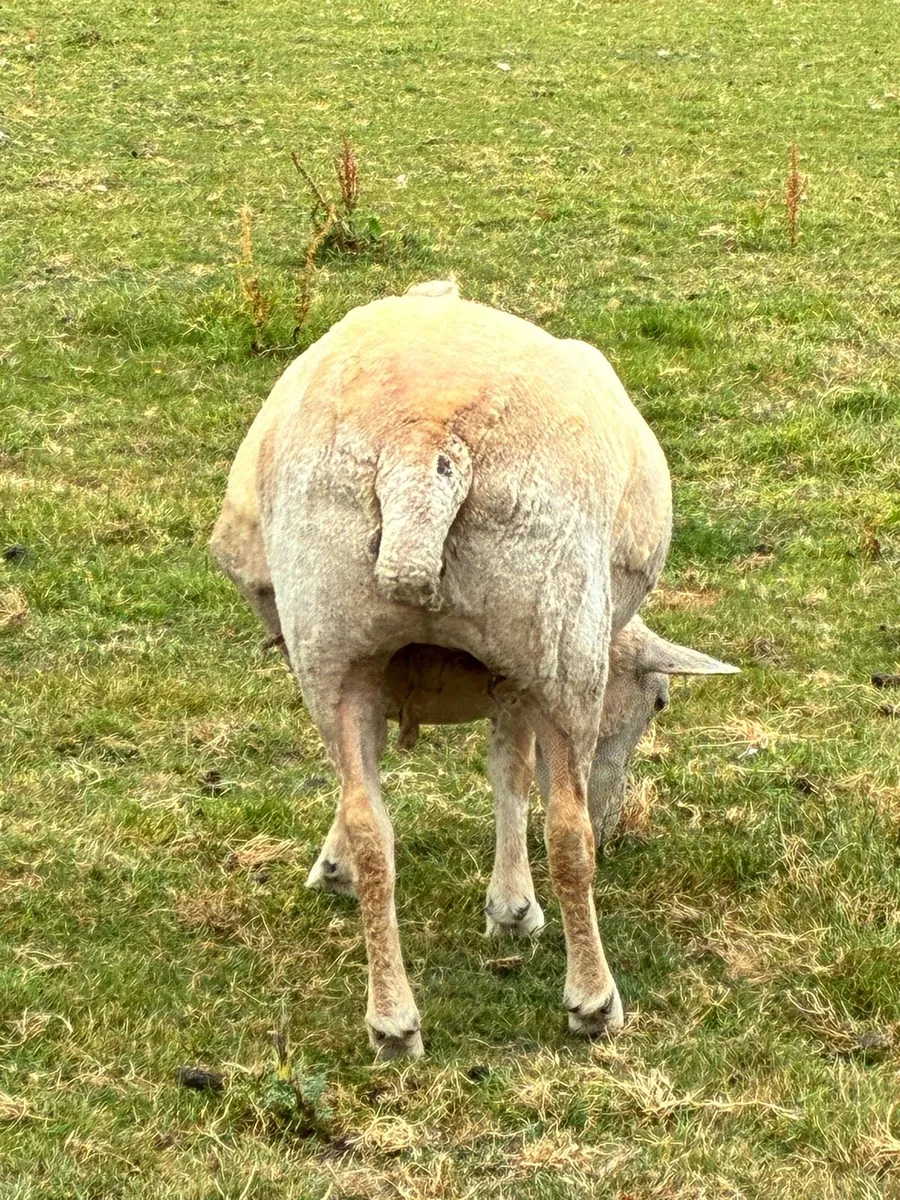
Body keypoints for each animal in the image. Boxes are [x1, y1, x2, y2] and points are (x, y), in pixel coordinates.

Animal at [210, 281, 738, 1060]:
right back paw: (593, 1000)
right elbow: (512, 769)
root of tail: (422, 449)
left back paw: (393, 1021)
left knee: (371, 825)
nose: (618, 825)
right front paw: (514, 908)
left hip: (332, 641)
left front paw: (333, 866)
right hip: (559, 634)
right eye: (658, 702)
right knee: (567, 831)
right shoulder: (519, 672)